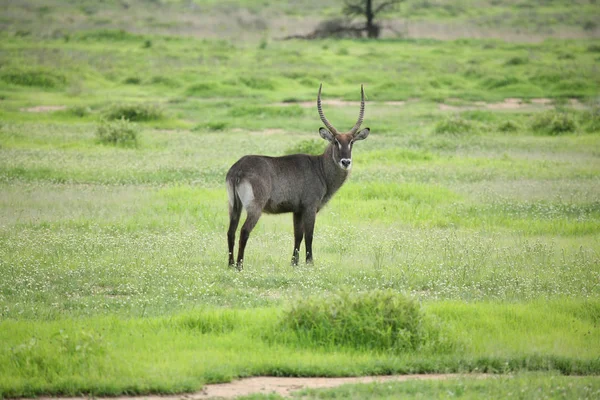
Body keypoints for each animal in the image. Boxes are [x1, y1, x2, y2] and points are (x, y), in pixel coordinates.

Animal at [225, 84, 368, 272]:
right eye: (335, 141)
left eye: (352, 142)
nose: (345, 161)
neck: (319, 168)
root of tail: (238, 169)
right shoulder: (310, 207)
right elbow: (309, 235)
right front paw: (310, 263)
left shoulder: (297, 210)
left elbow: (297, 235)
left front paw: (294, 263)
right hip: (254, 207)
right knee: (244, 231)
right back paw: (240, 266)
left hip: (234, 206)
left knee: (231, 231)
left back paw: (230, 265)